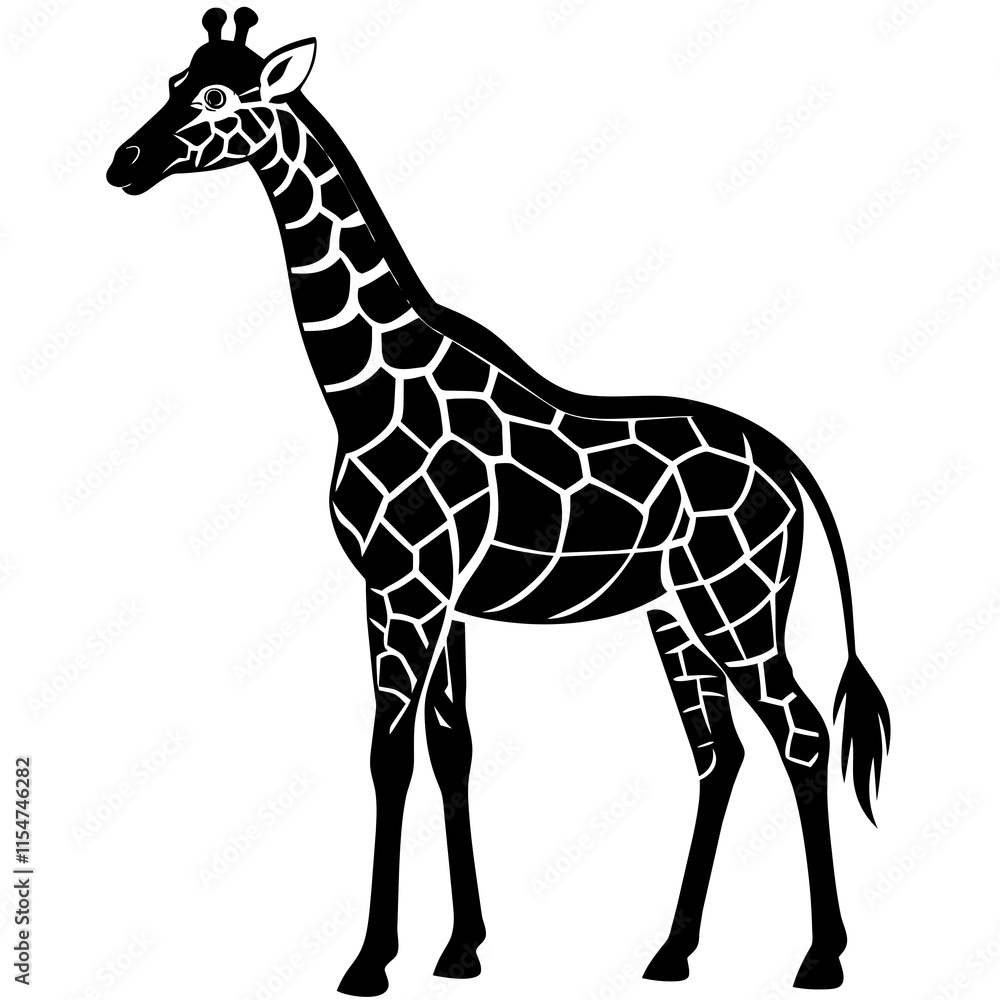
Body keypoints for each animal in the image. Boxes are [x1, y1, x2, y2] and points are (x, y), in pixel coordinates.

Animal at [107, 9, 891, 995]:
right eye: (174, 80)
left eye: (217, 98)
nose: (124, 162)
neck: (365, 393)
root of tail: (790, 465)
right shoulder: (430, 597)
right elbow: (453, 748)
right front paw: (462, 948)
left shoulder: (406, 589)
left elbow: (389, 753)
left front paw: (369, 960)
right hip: (675, 612)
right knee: (720, 753)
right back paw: (672, 952)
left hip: (736, 605)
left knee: (802, 734)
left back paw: (820, 957)